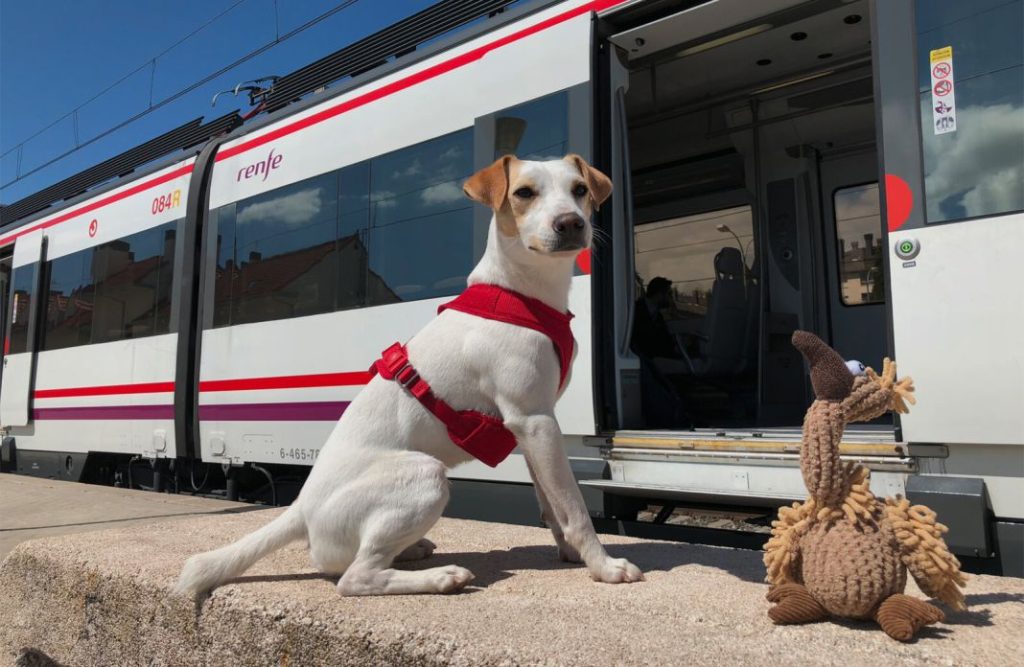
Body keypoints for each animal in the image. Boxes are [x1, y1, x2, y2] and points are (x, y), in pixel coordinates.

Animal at [174, 153, 638, 598]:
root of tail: (301, 509)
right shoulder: (536, 420)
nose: (571, 223)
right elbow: (574, 506)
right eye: (524, 193)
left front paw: (570, 554)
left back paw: (414, 550)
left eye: (579, 190)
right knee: (355, 578)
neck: (519, 295)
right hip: (426, 474)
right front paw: (603, 566)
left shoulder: (531, 426)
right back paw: (441, 577)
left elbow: (551, 502)